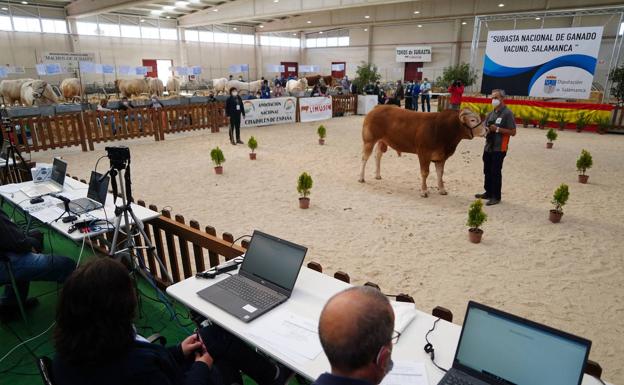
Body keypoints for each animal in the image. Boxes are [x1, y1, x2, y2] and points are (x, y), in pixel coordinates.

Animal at [360, 105, 488, 196]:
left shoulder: (441, 157)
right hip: (369, 140)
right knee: (364, 158)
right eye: (473, 120)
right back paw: (361, 177)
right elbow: (425, 173)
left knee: (378, 155)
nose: (486, 130)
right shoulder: (423, 154)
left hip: (382, 141)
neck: (441, 129)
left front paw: (442, 189)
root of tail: (377, 107)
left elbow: (440, 173)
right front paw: (424, 191)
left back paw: (377, 175)